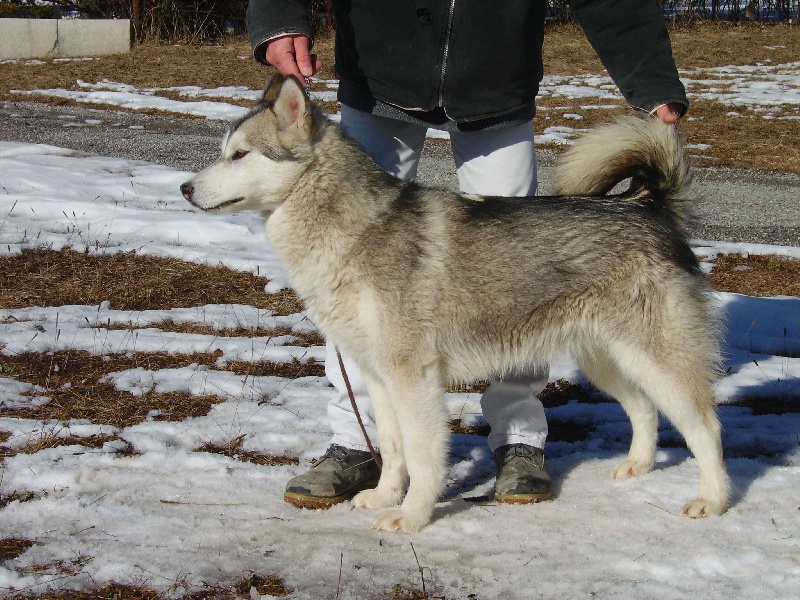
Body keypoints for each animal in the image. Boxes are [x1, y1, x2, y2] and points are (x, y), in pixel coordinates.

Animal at [183, 76, 732, 536]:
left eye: (240, 155)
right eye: (224, 153)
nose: (185, 188)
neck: (353, 229)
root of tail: (646, 206)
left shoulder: (414, 377)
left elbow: (423, 456)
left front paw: (411, 516)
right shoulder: (377, 376)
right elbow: (394, 449)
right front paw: (385, 496)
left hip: (655, 359)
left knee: (705, 427)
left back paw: (713, 499)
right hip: (608, 359)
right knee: (644, 409)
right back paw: (637, 465)